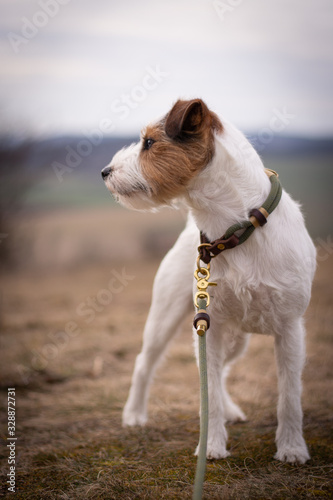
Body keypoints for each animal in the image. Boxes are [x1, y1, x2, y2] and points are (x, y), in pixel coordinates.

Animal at [100, 98, 314, 464]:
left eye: (149, 142)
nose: (105, 171)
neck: (233, 232)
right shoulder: (208, 329)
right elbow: (207, 392)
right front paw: (211, 446)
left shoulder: (289, 329)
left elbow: (289, 395)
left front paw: (291, 448)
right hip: (167, 318)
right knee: (146, 363)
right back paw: (134, 414)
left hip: (233, 337)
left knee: (221, 371)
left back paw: (231, 410)